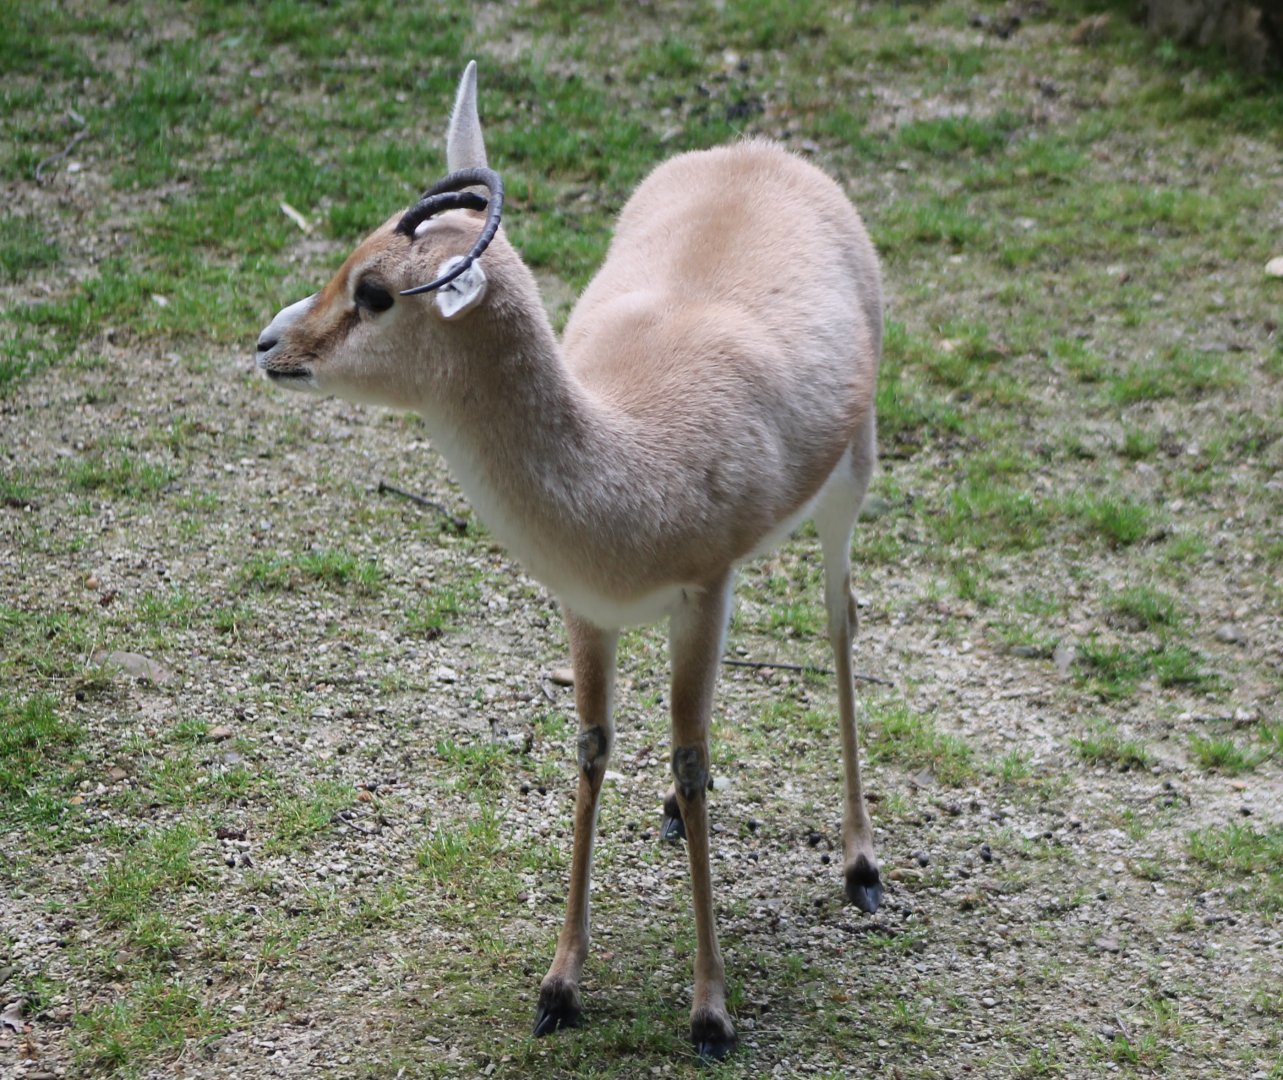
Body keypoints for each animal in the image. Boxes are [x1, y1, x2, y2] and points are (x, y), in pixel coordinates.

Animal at [256, 62, 883, 1062]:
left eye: (378, 291)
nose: (270, 344)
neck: (628, 464)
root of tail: (759, 152)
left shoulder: (701, 594)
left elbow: (690, 756)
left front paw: (710, 1010)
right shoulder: (587, 607)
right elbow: (594, 749)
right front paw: (559, 986)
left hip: (849, 481)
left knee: (838, 624)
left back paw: (861, 866)